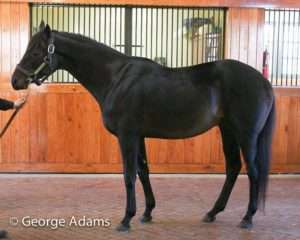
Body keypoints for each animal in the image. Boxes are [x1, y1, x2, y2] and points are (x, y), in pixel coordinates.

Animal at [11, 22, 274, 231]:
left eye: (36, 51)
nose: (15, 81)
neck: (116, 78)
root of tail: (263, 82)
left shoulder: (127, 135)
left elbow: (128, 175)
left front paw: (126, 219)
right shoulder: (138, 136)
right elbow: (143, 171)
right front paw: (147, 213)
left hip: (246, 135)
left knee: (253, 172)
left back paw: (247, 218)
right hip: (227, 130)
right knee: (233, 168)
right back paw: (212, 213)